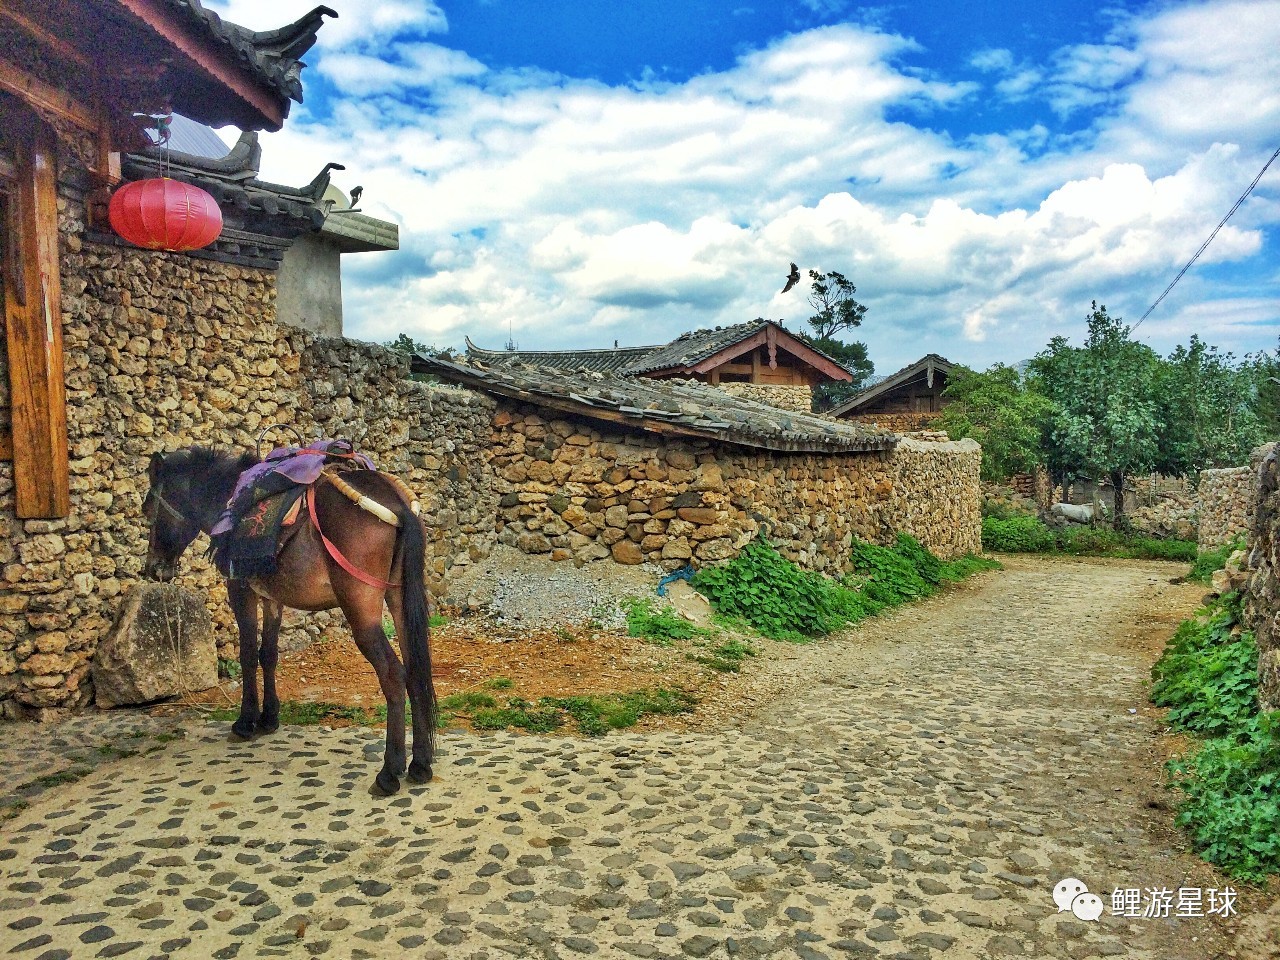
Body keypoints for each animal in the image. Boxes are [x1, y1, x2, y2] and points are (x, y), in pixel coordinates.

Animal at [143, 448, 437, 793]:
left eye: (147, 511)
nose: (154, 568)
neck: (230, 499)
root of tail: (397, 505)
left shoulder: (240, 590)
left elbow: (247, 654)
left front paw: (245, 721)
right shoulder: (273, 599)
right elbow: (268, 655)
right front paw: (269, 718)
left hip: (362, 611)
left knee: (392, 674)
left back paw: (389, 772)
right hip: (400, 601)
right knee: (415, 668)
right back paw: (420, 764)